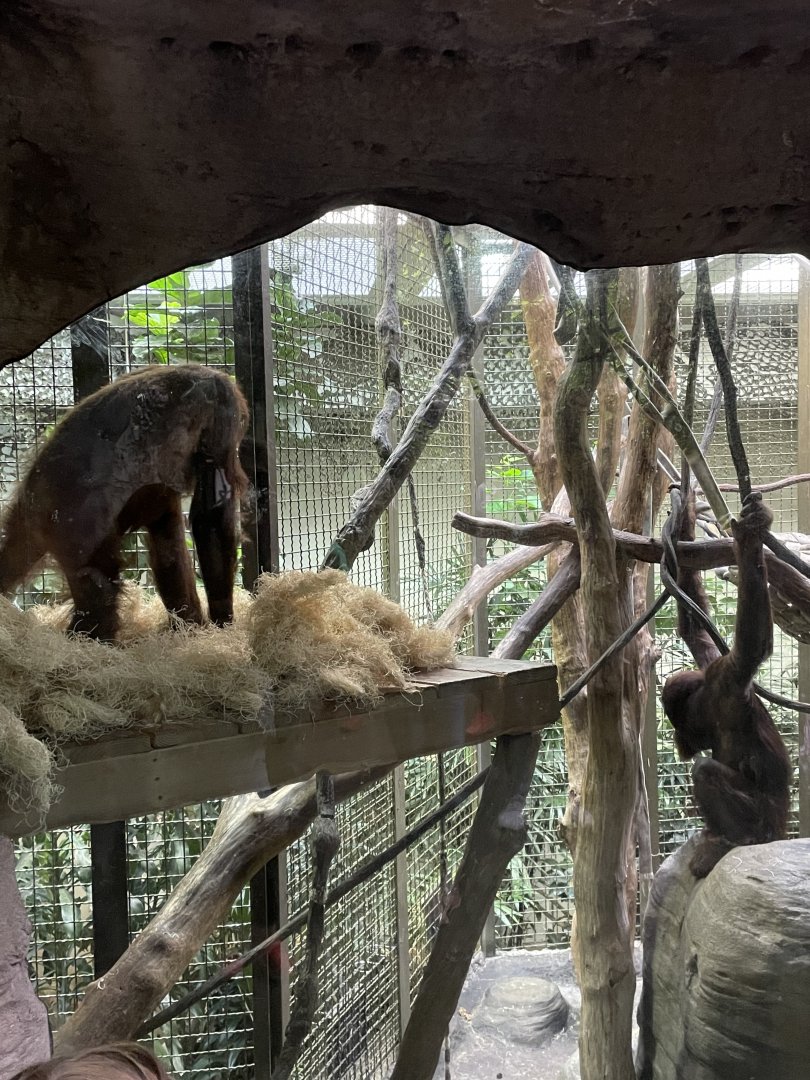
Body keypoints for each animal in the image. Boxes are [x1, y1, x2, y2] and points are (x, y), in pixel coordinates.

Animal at [0, 364, 249, 642]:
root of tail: (28, 504)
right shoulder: (223, 407)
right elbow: (211, 516)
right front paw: (223, 621)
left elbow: (168, 530)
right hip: (67, 524)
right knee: (100, 588)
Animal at [661, 490, 791, 878]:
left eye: (677, 725)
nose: (678, 741)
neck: (704, 705)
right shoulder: (710, 665)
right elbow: (694, 627)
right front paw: (684, 515)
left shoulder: (727, 679)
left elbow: (751, 644)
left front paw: (749, 537)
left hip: (766, 823)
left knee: (705, 772)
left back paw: (737, 840)